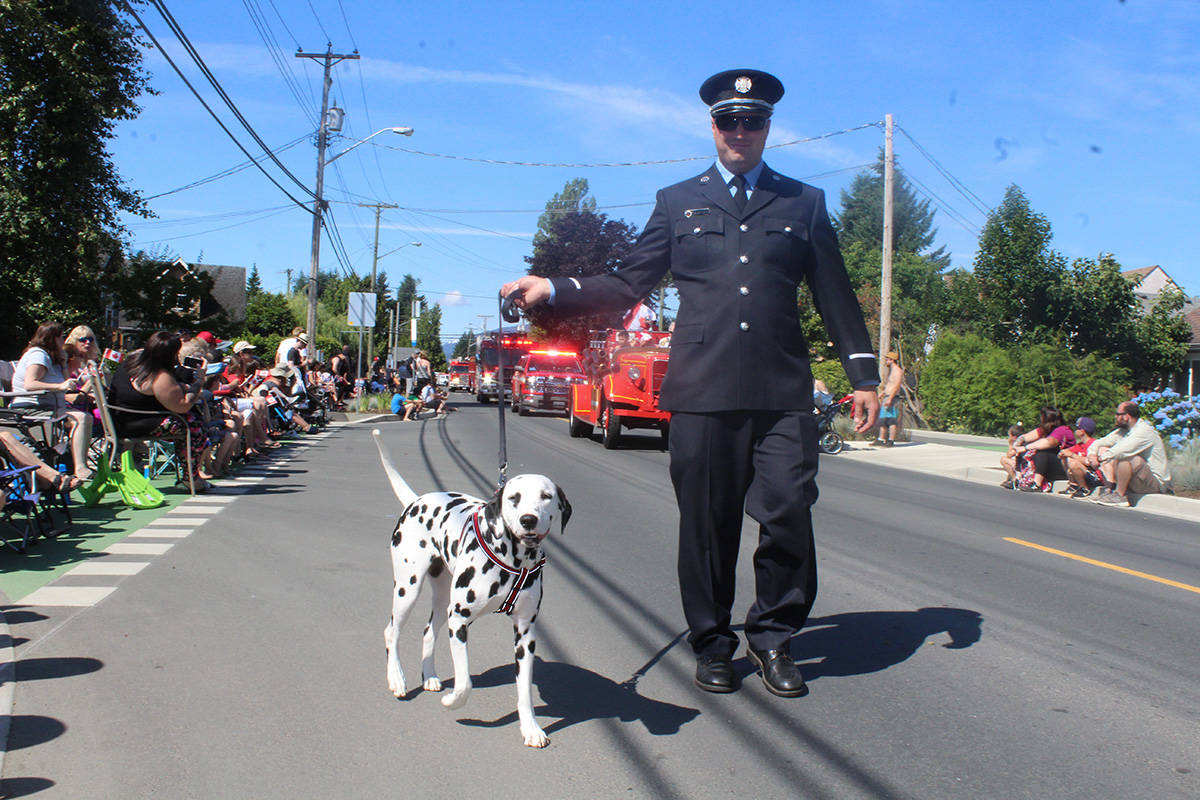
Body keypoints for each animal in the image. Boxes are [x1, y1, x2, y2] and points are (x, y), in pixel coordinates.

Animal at [369, 429, 571, 748]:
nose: (529, 519)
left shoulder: (525, 634)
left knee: (428, 630)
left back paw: (429, 676)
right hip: (408, 589)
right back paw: (397, 679)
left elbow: (524, 690)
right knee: (392, 631)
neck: (513, 558)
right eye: (514, 498)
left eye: (546, 496)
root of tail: (416, 500)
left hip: (442, 600)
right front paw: (454, 702)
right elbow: (465, 681)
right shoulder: (460, 620)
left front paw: (530, 728)